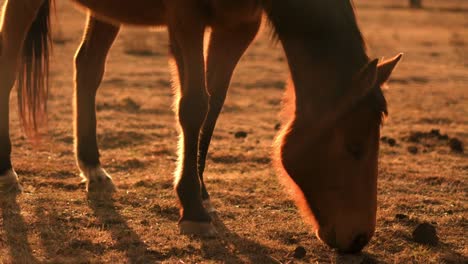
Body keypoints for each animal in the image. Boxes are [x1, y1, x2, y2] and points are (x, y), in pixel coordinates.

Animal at [0, 0, 402, 254]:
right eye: (353, 146)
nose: (359, 237)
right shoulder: (186, 18)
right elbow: (194, 105)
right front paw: (192, 207)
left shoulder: (238, 26)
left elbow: (214, 102)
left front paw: (200, 189)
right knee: (10, 64)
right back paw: (7, 171)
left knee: (88, 66)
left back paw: (92, 167)